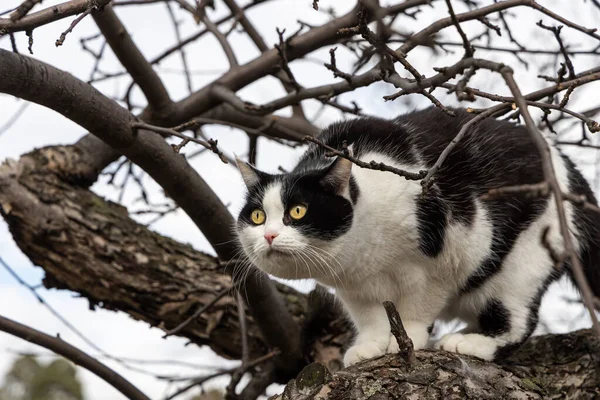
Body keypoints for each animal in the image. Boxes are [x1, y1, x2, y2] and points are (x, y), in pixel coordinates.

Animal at [234, 106, 600, 366]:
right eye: (257, 216)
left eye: (298, 211)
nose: (269, 235)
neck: (365, 255)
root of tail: (568, 170)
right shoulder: (352, 288)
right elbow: (368, 316)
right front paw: (370, 345)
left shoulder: (453, 250)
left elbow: (420, 304)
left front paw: (407, 336)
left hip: (523, 257)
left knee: (519, 319)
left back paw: (470, 342)